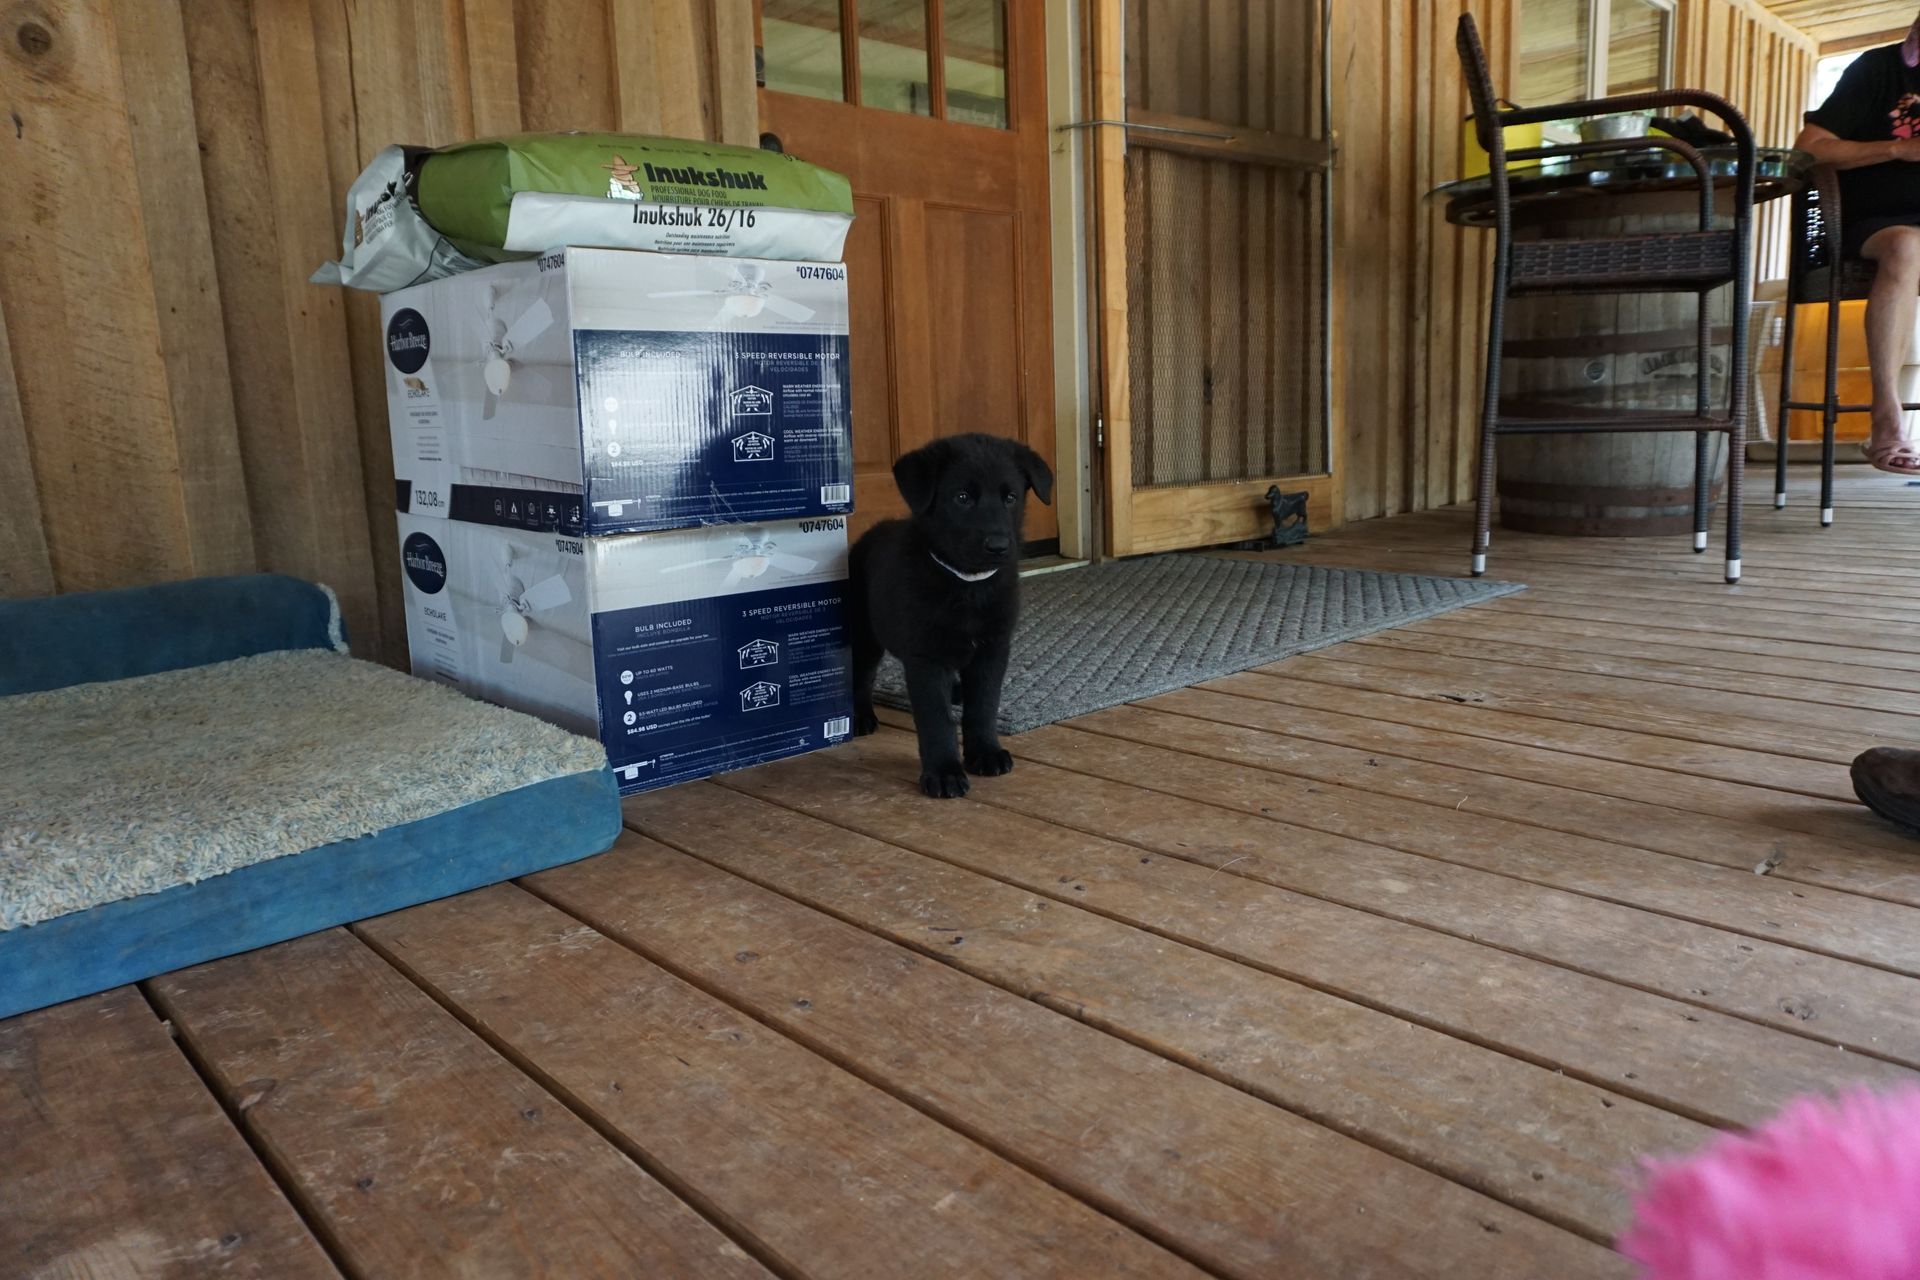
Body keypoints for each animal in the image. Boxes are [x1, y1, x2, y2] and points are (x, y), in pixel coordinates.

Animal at [852, 435, 1059, 794]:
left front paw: (985, 752)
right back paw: (862, 715)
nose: (999, 546)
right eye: (962, 498)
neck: (967, 585)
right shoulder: (926, 657)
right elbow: (936, 718)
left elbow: (984, 707)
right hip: (864, 631)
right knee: (862, 674)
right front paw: (944, 771)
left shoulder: (993, 649)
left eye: (1011, 497)